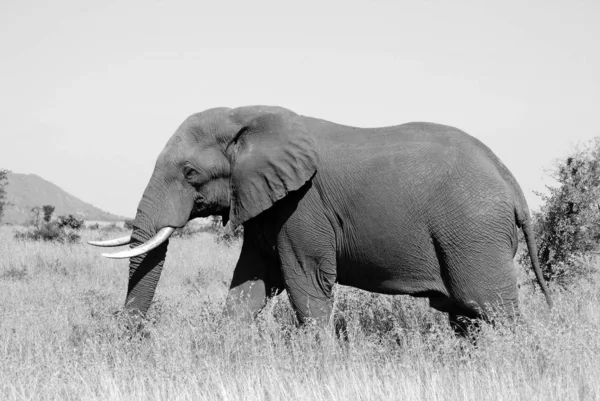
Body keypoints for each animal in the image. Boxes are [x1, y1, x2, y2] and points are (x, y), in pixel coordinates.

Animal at [91, 104, 556, 332]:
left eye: (190, 174)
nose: (133, 338)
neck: (250, 118)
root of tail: (511, 182)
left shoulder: (302, 207)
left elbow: (307, 285)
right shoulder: (268, 204)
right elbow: (250, 285)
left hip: (474, 231)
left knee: (491, 308)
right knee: (465, 315)